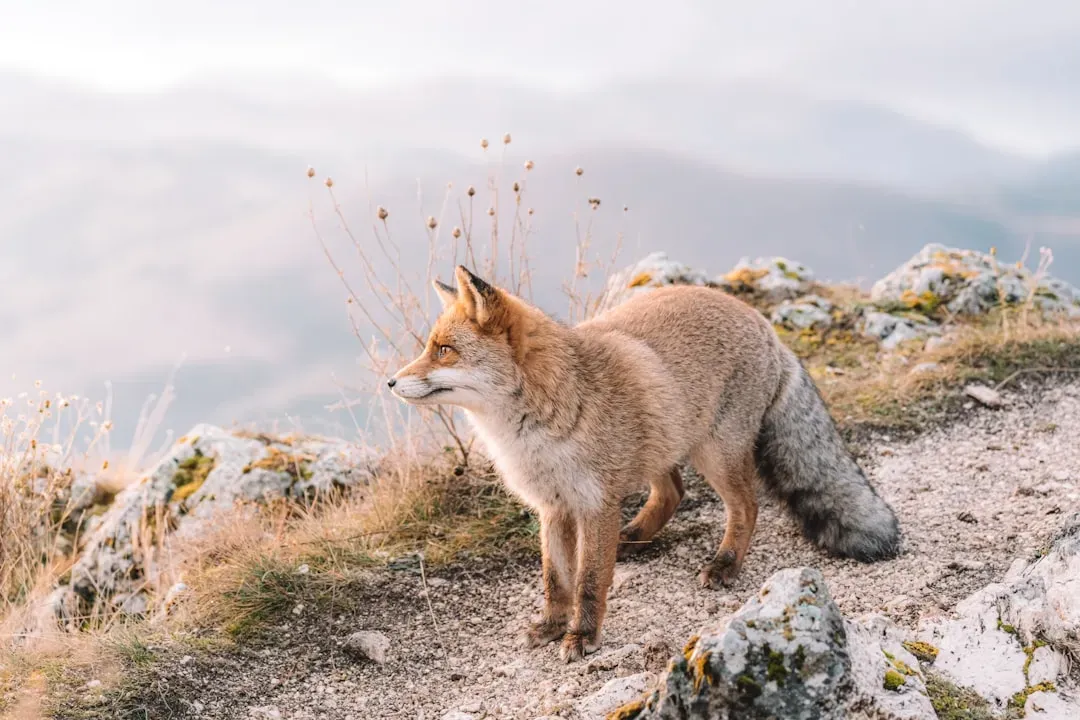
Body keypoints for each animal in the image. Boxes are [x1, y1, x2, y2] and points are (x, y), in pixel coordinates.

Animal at [389, 265, 900, 662]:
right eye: (430, 347)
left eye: (443, 350)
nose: (390, 383)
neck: (536, 429)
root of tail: (763, 322)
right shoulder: (554, 508)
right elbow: (556, 581)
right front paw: (552, 626)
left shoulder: (594, 504)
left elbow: (589, 582)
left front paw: (582, 636)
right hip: (664, 440)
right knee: (674, 490)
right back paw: (635, 536)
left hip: (713, 453)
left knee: (746, 507)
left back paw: (725, 564)